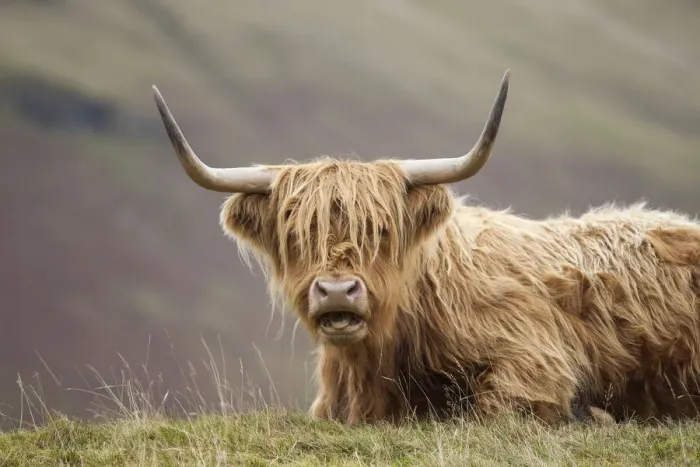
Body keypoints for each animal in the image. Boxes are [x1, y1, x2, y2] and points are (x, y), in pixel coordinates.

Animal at [151, 70, 700, 426]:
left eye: (382, 230)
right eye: (296, 233)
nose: (336, 292)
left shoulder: (534, 360)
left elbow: (498, 408)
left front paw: (595, 415)